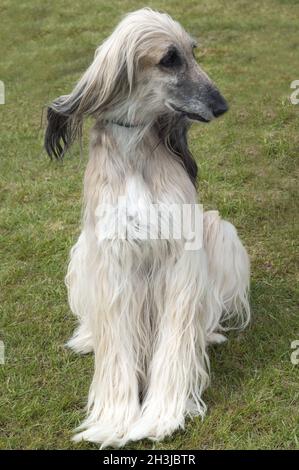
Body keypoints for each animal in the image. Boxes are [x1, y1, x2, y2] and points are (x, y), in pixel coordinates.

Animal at [44, 8, 251, 448]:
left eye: (193, 52)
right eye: (169, 59)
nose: (221, 105)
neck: (135, 150)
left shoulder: (182, 253)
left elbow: (176, 341)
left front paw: (160, 415)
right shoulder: (112, 257)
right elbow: (117, 346)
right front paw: (115, 419)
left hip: (219, 229)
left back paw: (208, 333)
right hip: (82, 248)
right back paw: (88, 338)